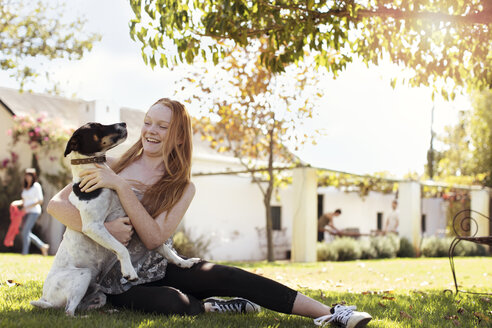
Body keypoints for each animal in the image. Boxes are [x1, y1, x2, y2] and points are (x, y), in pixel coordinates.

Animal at [30, 122, 199, 316]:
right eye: (97, 127)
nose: (123, 123)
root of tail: (45, 298)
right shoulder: (93, 227)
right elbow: (121, 248)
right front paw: (129, 271)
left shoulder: (135, 226)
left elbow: (165, 249)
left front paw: (184, 262)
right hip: (83, 275)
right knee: (68, 311)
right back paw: (84, 317)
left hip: (98, 293)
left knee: (85, 305)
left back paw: (108, 312)